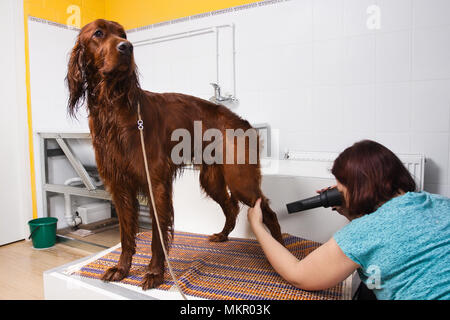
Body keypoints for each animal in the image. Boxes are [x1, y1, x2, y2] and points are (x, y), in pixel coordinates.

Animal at [65, 20, 284, 290]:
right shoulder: (119, 187)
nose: (127, 47)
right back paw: (223, 235)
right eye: (98, 33)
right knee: (231, 206)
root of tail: (243, 122)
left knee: (267, 210)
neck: (113, 107)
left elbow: (158, 234)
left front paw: (155, 273)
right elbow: (126, 235)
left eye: (122, 34)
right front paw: (122, 269)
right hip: (212, 180)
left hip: (240, 180)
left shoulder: (156, 184)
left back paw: (281, 248)